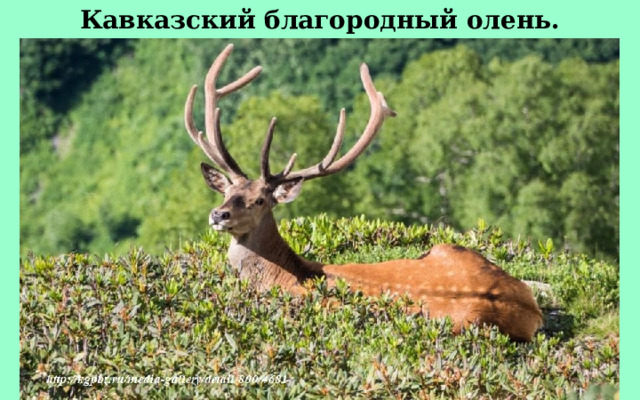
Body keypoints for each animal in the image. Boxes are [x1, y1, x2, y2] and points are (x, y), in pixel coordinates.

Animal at [183, 44, 543, 342]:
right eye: (227, 191)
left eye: (260, 200)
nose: (219, 214)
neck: (282, 277)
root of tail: (530, 308)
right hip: (449, 248)